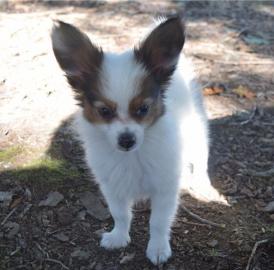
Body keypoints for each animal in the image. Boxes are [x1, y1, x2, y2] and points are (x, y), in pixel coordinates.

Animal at [51, 15, 219, 264]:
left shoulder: (164, 187)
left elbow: (158, 222)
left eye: (143, 109)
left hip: (196, 130)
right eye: (104, 111)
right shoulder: (112, 186)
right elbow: (120, 214)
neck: (132, 157)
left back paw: (203, 186)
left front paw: (158, 248)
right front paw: (119, 237)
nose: (126, 140)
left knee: (200, 160)